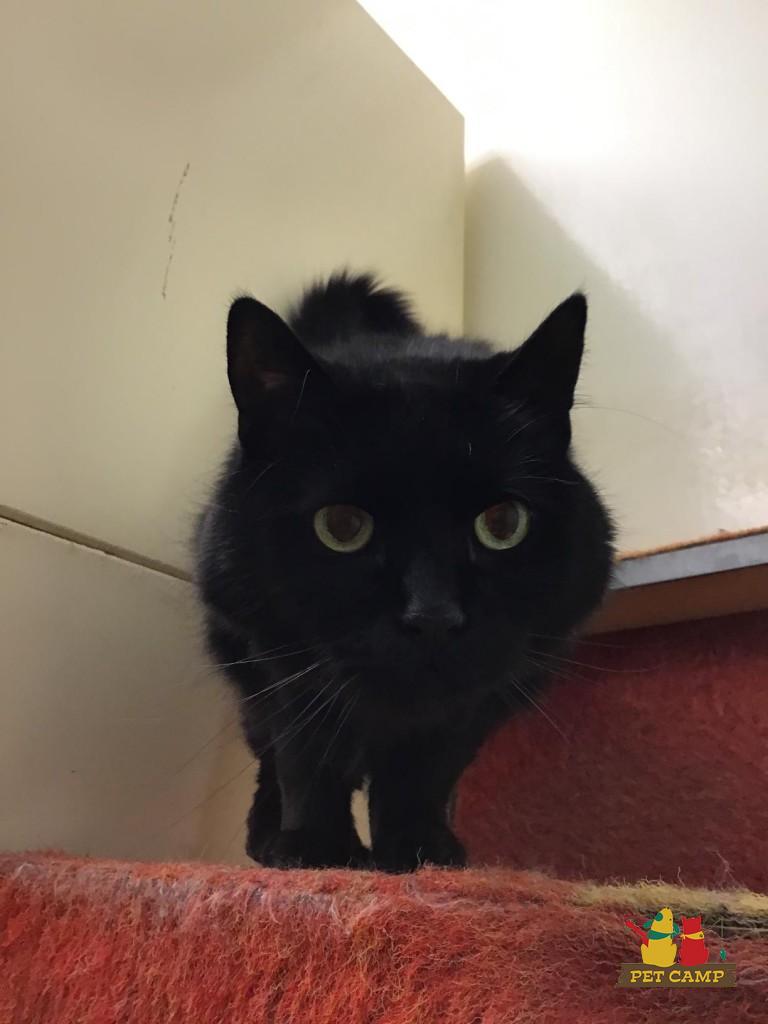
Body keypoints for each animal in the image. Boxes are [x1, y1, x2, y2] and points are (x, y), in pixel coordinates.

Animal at [195, 271, 614, 872]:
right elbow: (307, 758)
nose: (433, 615)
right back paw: (268, 834)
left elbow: (423, 773)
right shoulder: (283, 663)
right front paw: (318, 850)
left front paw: (418, 853)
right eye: (342, 526)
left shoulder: (480, 700)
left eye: (503, 523)